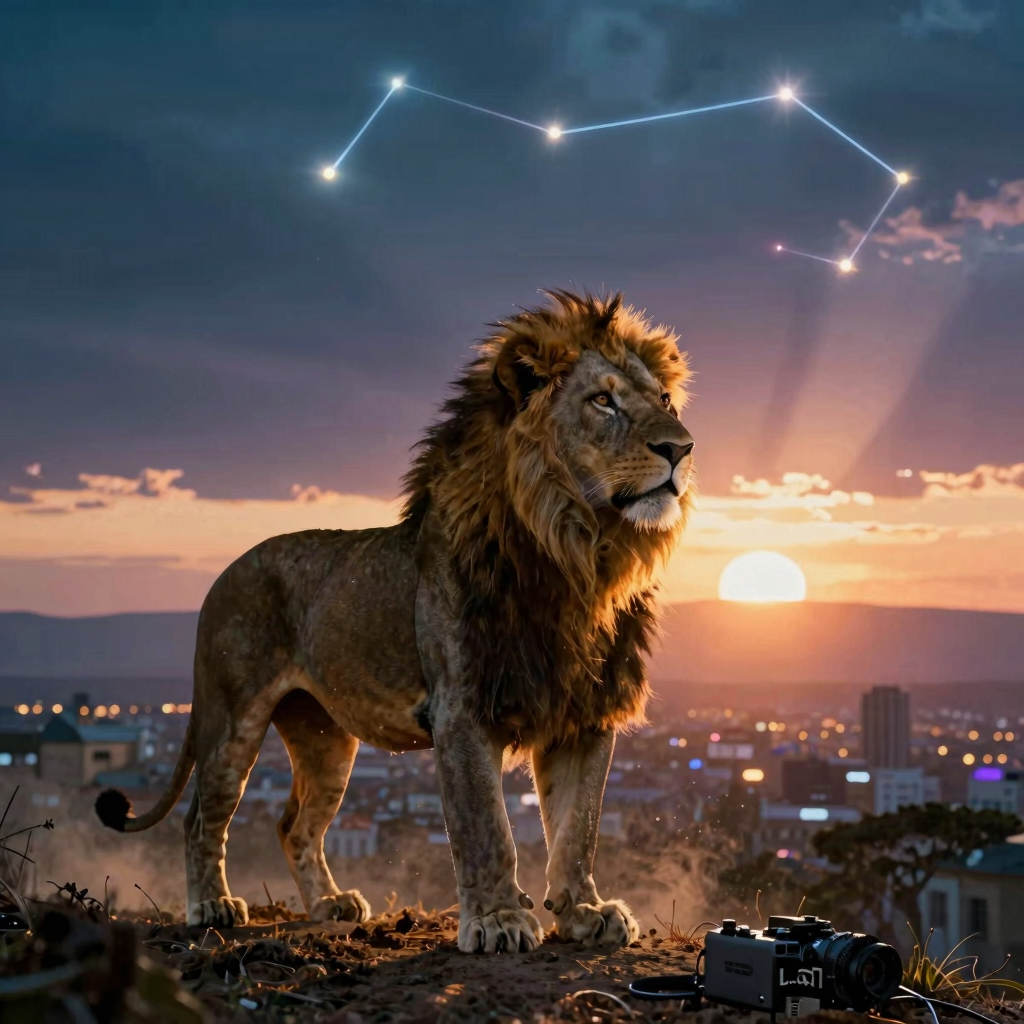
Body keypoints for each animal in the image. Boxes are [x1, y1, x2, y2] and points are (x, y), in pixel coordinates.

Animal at [96, 290, 695, 953]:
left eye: (665, 401)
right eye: (602, 400)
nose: (681, 448)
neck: (578, 554)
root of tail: (225, 572)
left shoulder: (585, 710)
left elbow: (578, 826)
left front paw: (586, 911)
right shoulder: (462, 707)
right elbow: (486, 828)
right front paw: (497, 921)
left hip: (325, 738)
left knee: (293, 823)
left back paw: (329, 904)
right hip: (231, 718)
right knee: (202, 815)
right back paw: (212, 905)